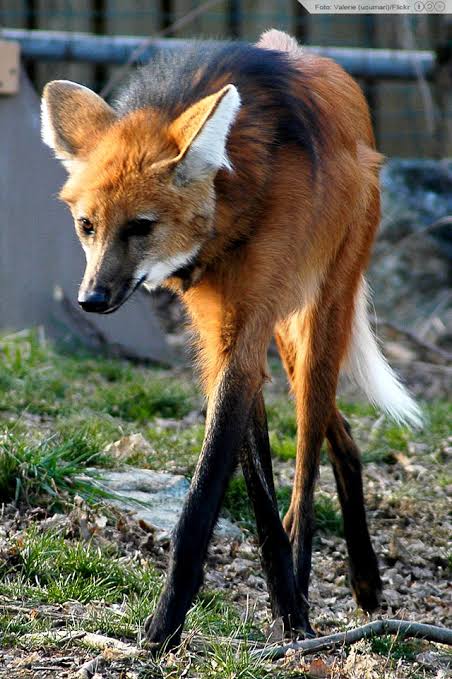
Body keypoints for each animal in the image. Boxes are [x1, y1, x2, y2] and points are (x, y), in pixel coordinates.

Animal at [41, 29, 420, 652]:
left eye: (140, 226)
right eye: (87, 226)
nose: (92, 299)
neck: (232, 211)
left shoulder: (245, 333)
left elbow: (207, 498)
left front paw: (167, 627)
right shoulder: (223, 340)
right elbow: (256, 487)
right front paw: (281, 601)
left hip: (322, 313)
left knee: (310, 461)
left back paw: (321, 583)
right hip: (286, 336)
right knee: (341, 438)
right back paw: (362, 580)